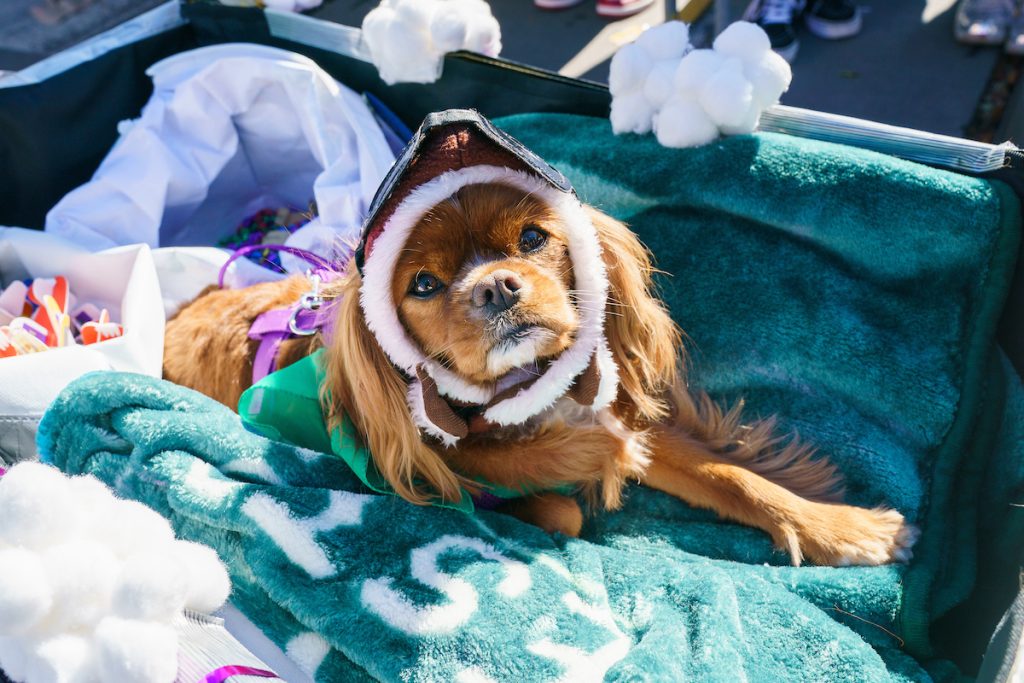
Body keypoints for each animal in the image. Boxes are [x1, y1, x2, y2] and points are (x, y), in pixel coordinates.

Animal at [163, 113, 917, 565]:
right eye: (425, 284)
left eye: (531, 240)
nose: (496, 287)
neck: (522, 394)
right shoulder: (434, 469)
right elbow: (548, 494)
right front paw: (584, 468)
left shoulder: (610, 411)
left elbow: (729, 475)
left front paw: (841, 528)